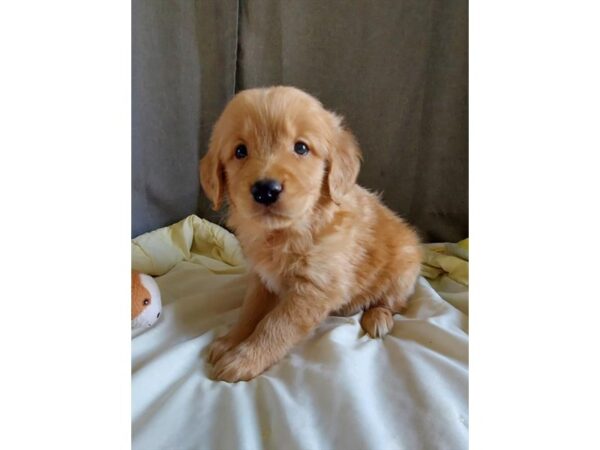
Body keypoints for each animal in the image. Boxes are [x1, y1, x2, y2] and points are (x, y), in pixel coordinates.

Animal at [202, 86, 422, 382]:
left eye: (301, 148)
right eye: (240, 151)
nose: (265, 190)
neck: (287, 232)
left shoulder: (313, 289)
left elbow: (275, 325)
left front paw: (245, 358)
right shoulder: (261, 278)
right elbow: (250, 311)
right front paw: (231, 340)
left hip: (403, 269)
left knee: (393, 302)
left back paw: (377, 317)